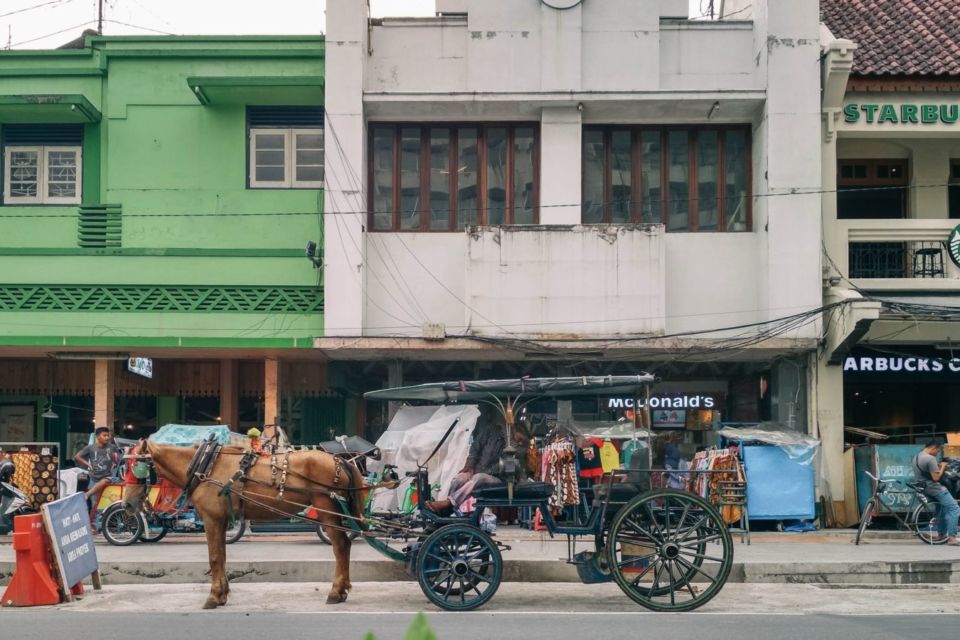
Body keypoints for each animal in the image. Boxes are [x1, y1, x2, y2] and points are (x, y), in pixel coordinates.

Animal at [121, 440, 368, 608]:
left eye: (136, 466)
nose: (127, 504)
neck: (205, 467)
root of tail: (340, 459)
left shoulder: (211, 519)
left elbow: (214, 557)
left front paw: (213, 596)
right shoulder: (220, 520)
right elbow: (221, 556)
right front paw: (222, 594)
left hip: (327, 510)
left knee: (340, 546)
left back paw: (336, 592)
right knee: (344, 545)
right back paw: (342, 590)